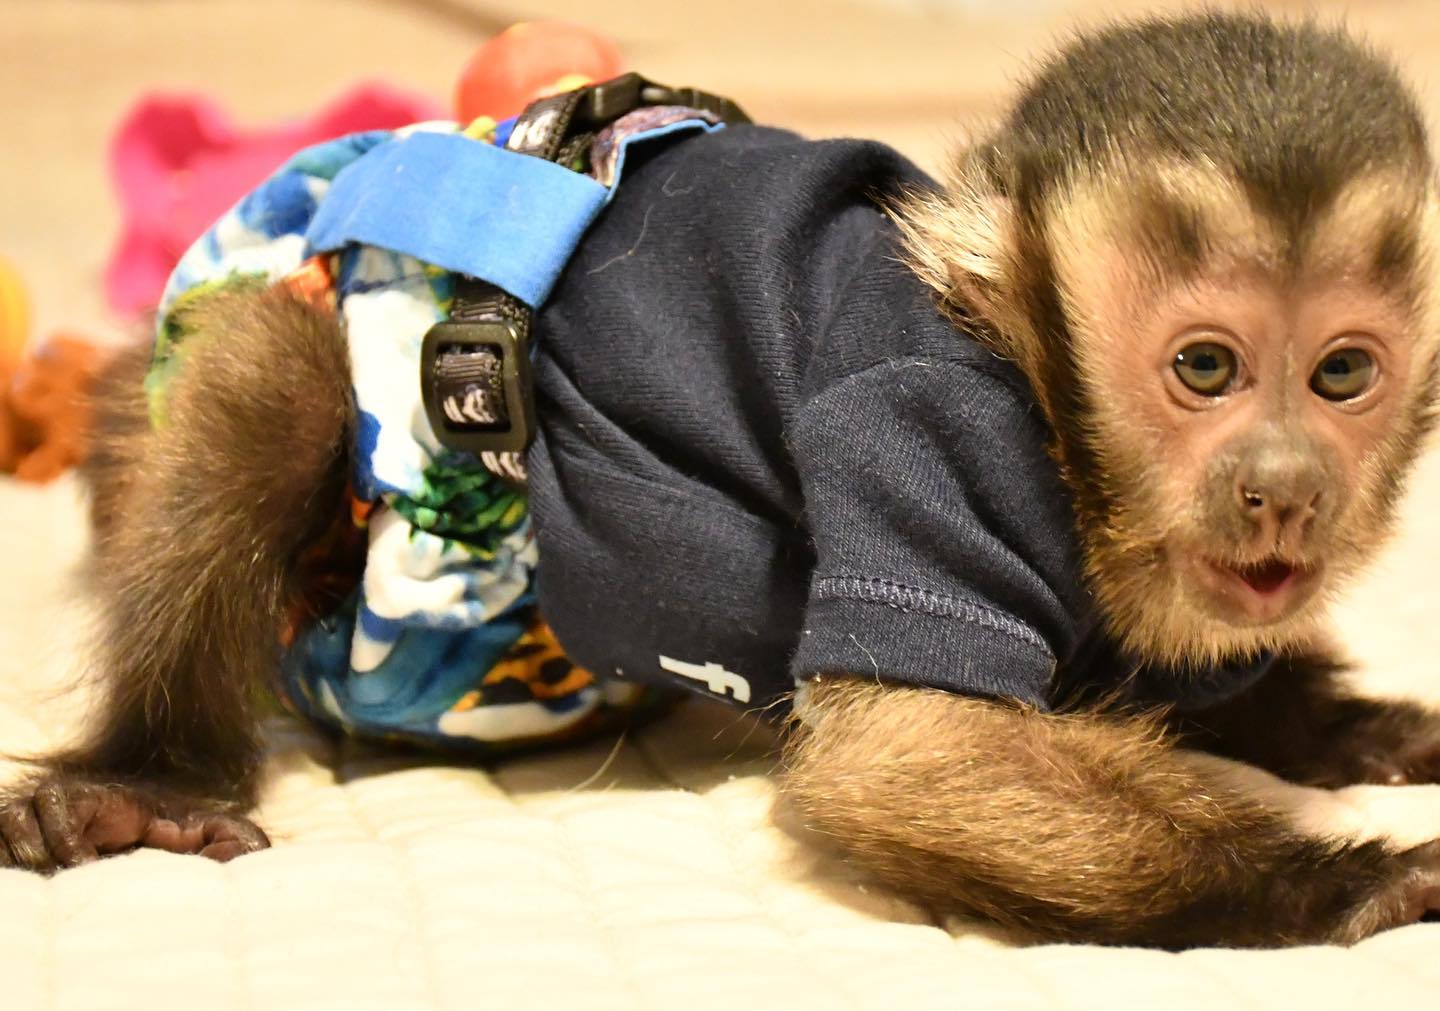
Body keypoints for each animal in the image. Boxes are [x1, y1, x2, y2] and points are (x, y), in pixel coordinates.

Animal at [5, 11, 1440, 949]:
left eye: (1341, 374)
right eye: (1205, 366)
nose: (1283, 488)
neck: (1034, 381)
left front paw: (1352, 732)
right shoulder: (916, 422)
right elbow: (904, 760)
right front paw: (1336, 883)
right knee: (276, 378)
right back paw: (141, 779)